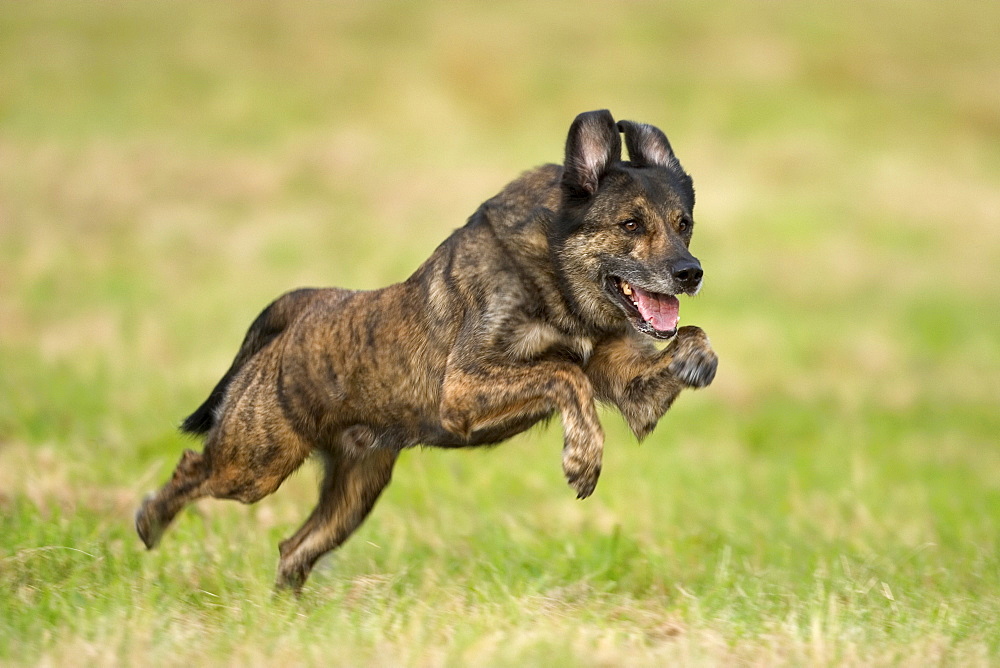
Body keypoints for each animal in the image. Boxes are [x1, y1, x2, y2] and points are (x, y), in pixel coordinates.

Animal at [139, 109, 720, 588]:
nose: (690, 273)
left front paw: (699, 360)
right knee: (192, 470)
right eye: (630, 224)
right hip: (255, 464)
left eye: (684, 224)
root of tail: (301, 313)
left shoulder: (631, 394)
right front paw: (582, 461)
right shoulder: (461, 390)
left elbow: (688, 338)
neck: (555, 273)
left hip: (355, 492)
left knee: (293, 549)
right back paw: (147, 521)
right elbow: (565, 373)